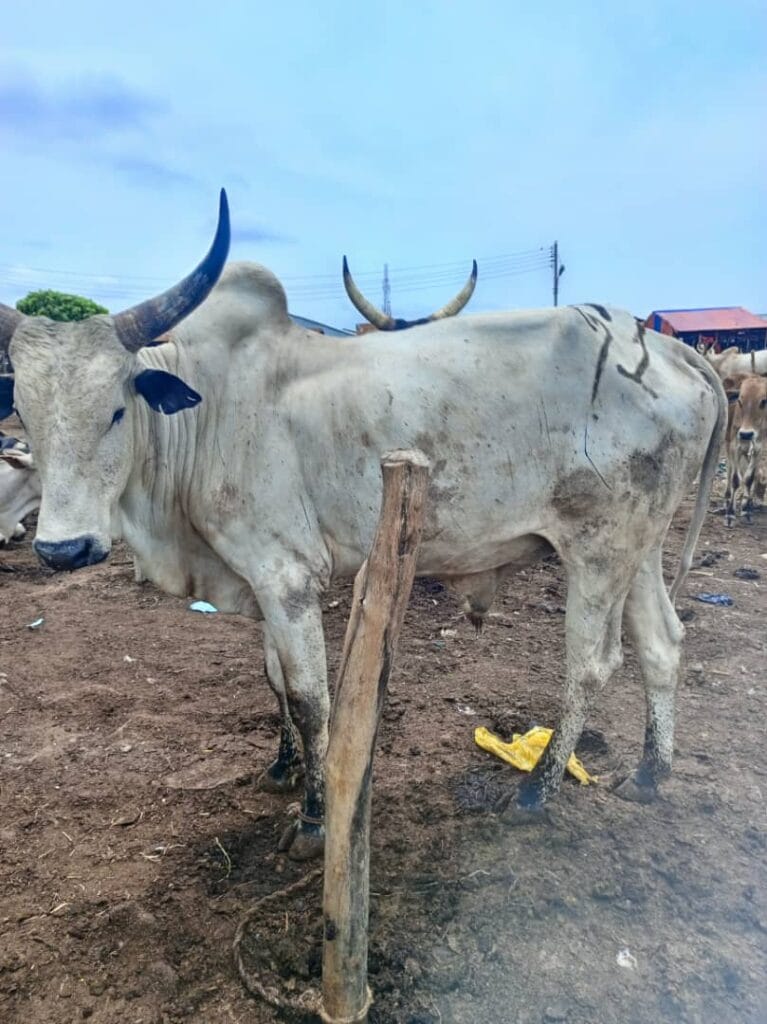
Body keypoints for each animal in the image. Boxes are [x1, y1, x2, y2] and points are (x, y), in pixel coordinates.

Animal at [0, 192, 726, 860]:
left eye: (116, 410)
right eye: (25, 416)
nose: (64, 549)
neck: (210, 410)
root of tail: (664, 346)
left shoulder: (288, 576)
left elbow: (308, 697)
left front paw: (315, 817)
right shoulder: (259, 576)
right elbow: (274, 678)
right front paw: (282, 766)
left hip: (597, 548)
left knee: (592, 663)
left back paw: (535, 790)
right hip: (639, 545)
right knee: (662, 642)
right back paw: (649, 773)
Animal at [724, 374, 767, 525]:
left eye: (764, 401)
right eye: (740, 401)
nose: (746, 434)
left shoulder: (759, 449)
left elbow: (749, 478)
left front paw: (747, 510)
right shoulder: (734, 447)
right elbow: (735, 479)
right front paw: (730, 514)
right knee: (730, 469)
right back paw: (727, 498)